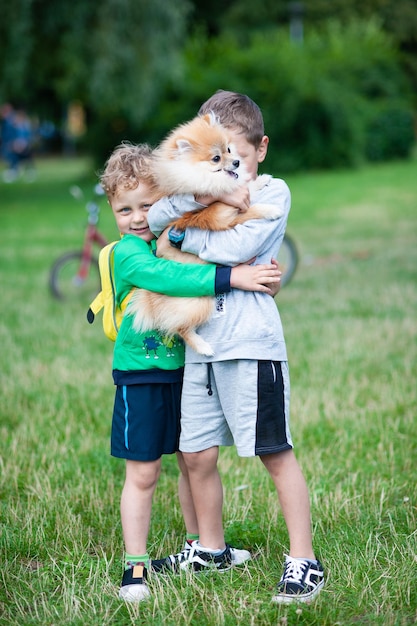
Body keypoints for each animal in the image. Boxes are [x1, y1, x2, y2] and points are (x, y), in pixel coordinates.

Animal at [127, 113, 282, 356]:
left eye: (229, 149)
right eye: (216, 158)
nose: (237, 162)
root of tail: (152, 300)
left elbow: (246, 188)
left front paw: (260, 180)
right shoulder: (224, 218)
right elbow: (251, 210)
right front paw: (271, 210)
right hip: (200, 302)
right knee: (180, 328)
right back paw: (203, 347)